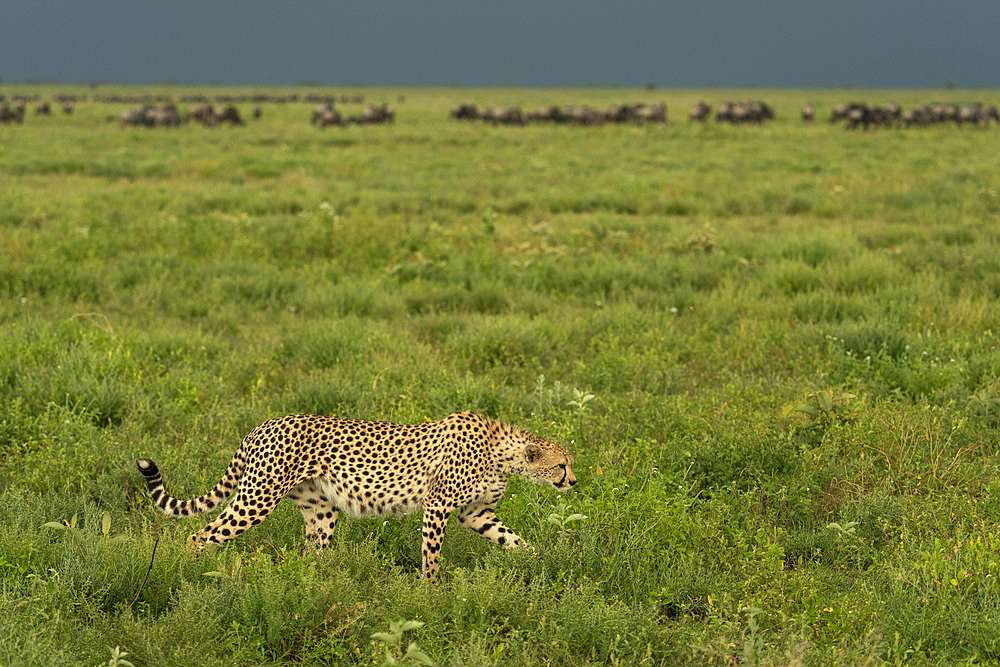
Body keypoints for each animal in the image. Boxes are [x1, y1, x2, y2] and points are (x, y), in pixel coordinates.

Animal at [136, 410, 576, 576]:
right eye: (562, 465)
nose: (573, 482)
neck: (505, 453)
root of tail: (263, 423)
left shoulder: (476, 513)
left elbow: (515, 541)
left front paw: (546, 562)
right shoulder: (438, 506)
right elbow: (432, 556)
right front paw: (431, 591)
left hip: (321, 509)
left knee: (311, 553)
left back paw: (313, 587)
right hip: (257, 498)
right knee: (200, 536)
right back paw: (190, 576)